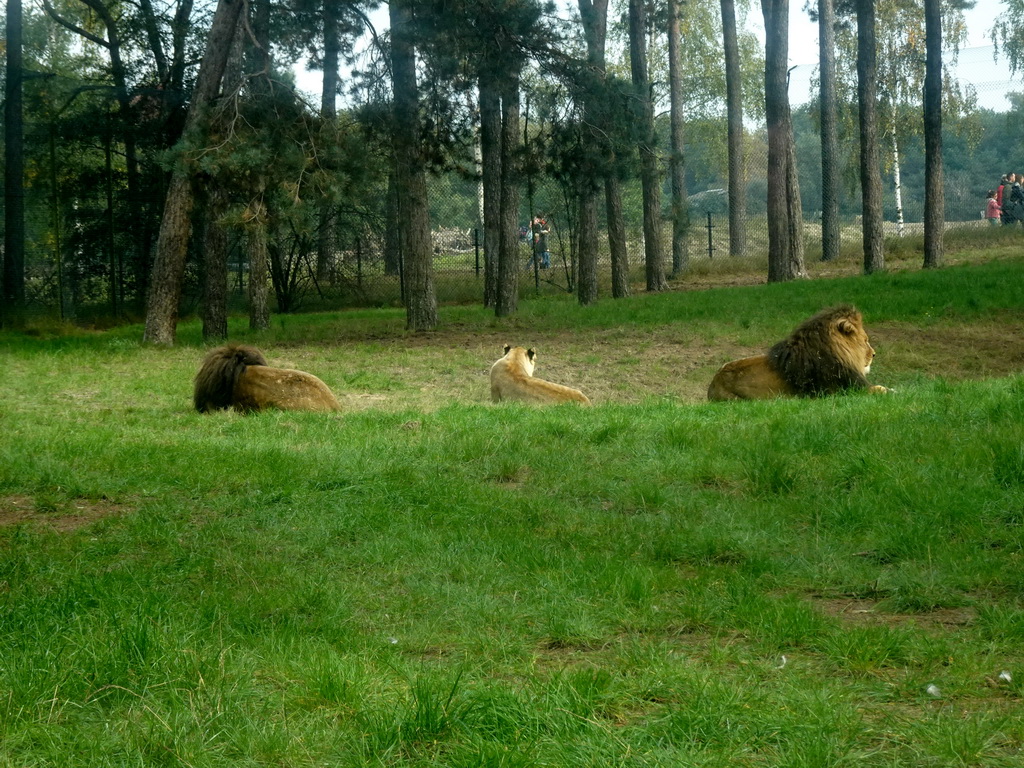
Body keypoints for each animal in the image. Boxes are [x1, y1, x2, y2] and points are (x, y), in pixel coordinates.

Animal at [712, 307, 888, 403]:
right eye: (865, 340)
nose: (874, 354)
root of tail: (713, 384)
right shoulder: (841, 391)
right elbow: (879, 389)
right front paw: (889, 390)